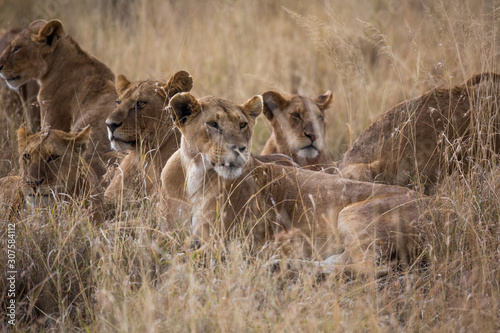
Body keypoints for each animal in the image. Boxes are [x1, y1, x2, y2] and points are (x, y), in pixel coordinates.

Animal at [161, 92, 426, 276]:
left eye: (242, 124)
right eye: (213, 124)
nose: (240, 148)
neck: (196, 172)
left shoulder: (229, 243)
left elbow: (179, 256)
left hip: (352, 215)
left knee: (370, 267)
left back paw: (284, 265)